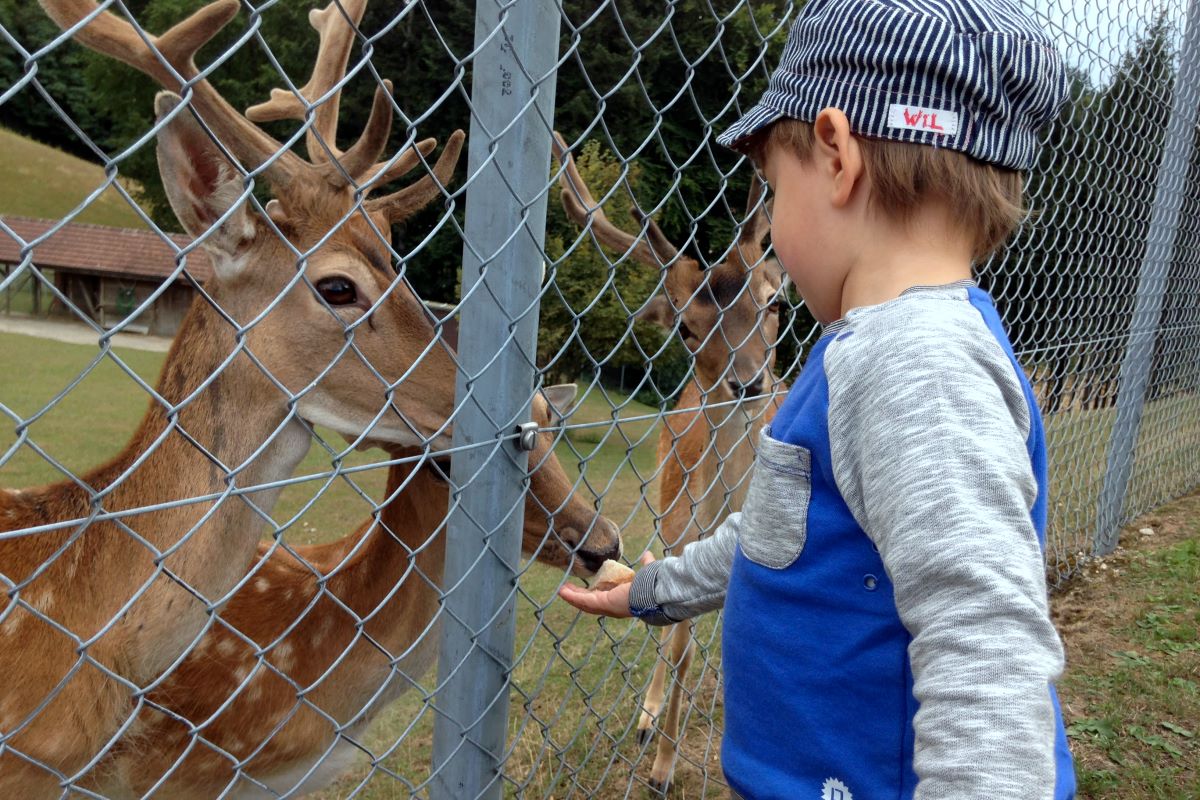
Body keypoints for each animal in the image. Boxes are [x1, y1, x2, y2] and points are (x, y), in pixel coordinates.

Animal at [549, 130, 787, 786]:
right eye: (685, 327)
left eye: (773, 303)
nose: (748, 381)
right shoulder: (681, 531)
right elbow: (676, 638)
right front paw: (661, 765)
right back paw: (649, 718)